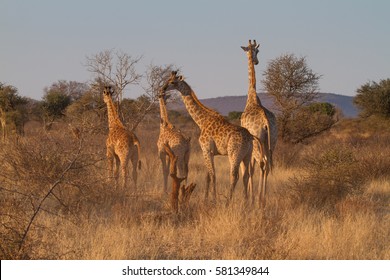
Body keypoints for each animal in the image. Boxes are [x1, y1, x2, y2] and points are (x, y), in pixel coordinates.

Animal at [161, 71, 256, 202]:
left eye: (172, 82)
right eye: (167, 79)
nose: (162, 89)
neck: (202, 121)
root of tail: (250, 138)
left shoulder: (206, 149)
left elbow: (213, 175)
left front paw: (213, 199)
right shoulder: (210, 152)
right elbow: (208, 176)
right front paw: (206, 199)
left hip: (234, 154)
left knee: (234, 175)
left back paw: (228, 201)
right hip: (247, 155)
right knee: (245, 176)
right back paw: (246, 202)